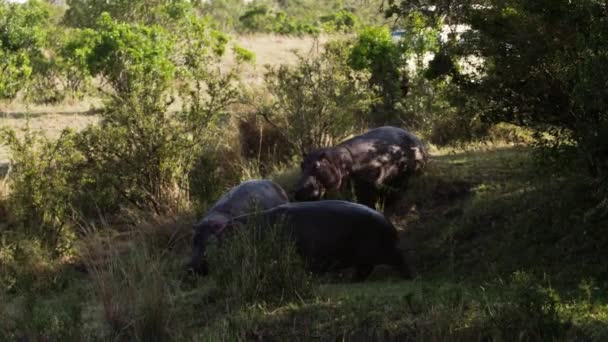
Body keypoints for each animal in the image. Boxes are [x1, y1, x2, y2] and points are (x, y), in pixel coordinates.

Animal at [192, 199, 414, 282]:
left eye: (217, 237)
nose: (193, 266)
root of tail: (388, 223)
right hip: (365, 256)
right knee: (365, 269)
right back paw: (354, 280)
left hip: (383, 251)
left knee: (399, 260)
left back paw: (408, 277)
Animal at [294, 126, 428, 208]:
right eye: (301, 164)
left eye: (316, 165)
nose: (298, 191)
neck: (338, 161)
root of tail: (418, 140)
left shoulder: (371, 182)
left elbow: (368, 200)